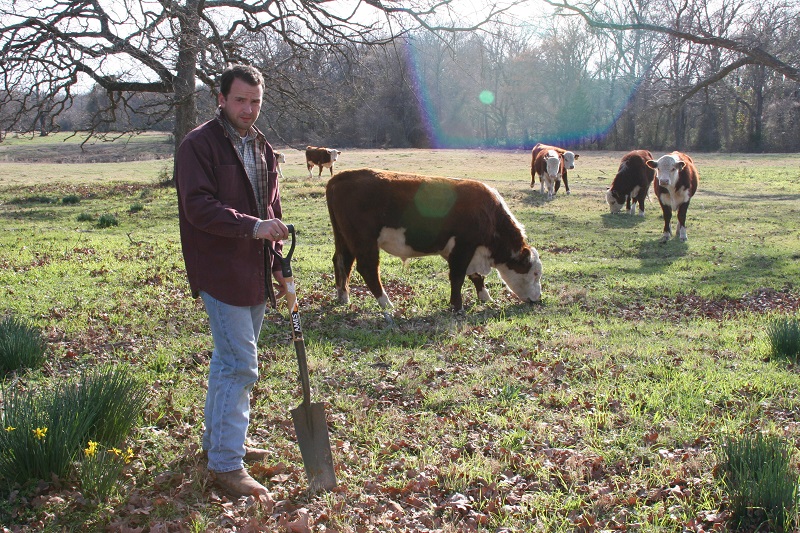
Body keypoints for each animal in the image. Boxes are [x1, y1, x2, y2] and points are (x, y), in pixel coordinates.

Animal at [324, 168, 544, 312]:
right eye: (534, 273)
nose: (538, 299)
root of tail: (341, 177)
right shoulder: (463, 247)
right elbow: (458, 277)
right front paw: (457, 306)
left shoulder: (464, 251)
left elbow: (475, 276)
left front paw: (485, 297)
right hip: (364, 241)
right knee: (367, 268)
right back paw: (386, 302)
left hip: (344, 238)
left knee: (342, 262)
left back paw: (343, 296)